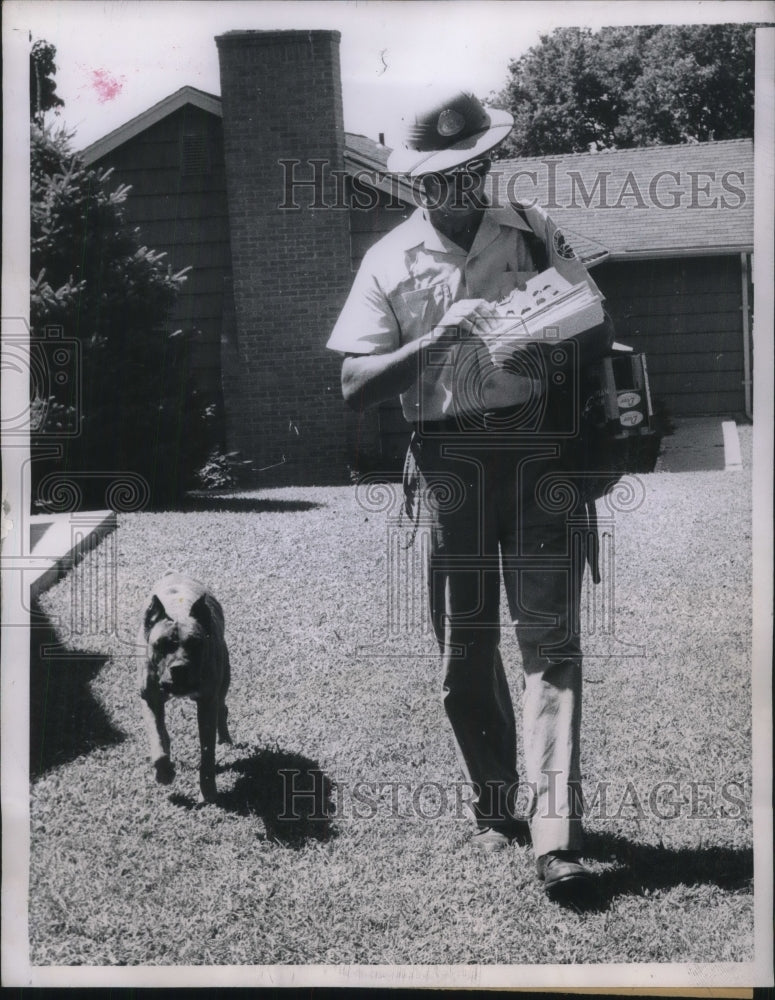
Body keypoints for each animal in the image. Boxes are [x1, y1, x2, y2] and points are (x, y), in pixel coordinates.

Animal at [138, 576, 232, 800]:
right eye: (161, 645)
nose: (179, 668)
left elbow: (207, 752)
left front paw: (208, 791)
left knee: (222, 708)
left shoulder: (207, 704)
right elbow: (157, 738)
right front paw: (164, 771)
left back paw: (225, 738)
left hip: (222, 684)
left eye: (196, 644)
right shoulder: (150, 700)